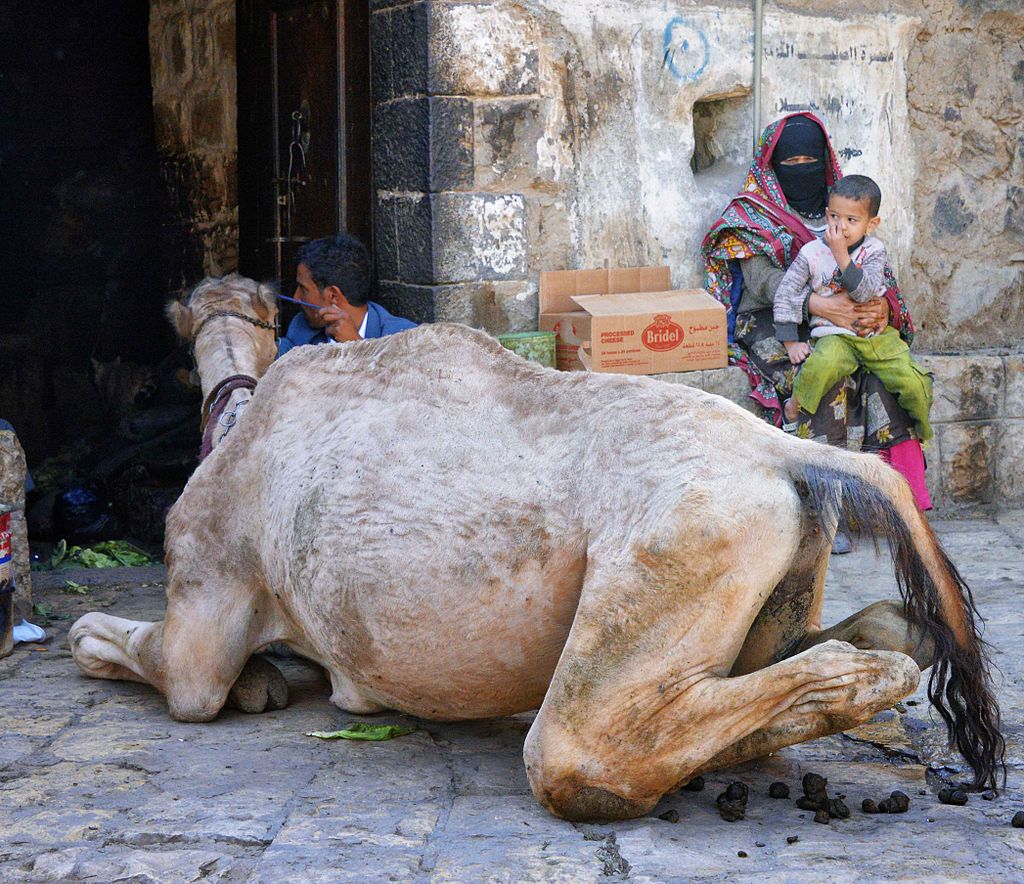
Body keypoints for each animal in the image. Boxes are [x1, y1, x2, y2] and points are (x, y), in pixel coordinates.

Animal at [69, 275, 1004, 822]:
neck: (242, 415)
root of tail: (785, 455)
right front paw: (268, 680)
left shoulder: (207, 591)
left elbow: (156, 666)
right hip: (773, 553)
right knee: (881, 633)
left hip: (677, 543)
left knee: (575, 749)